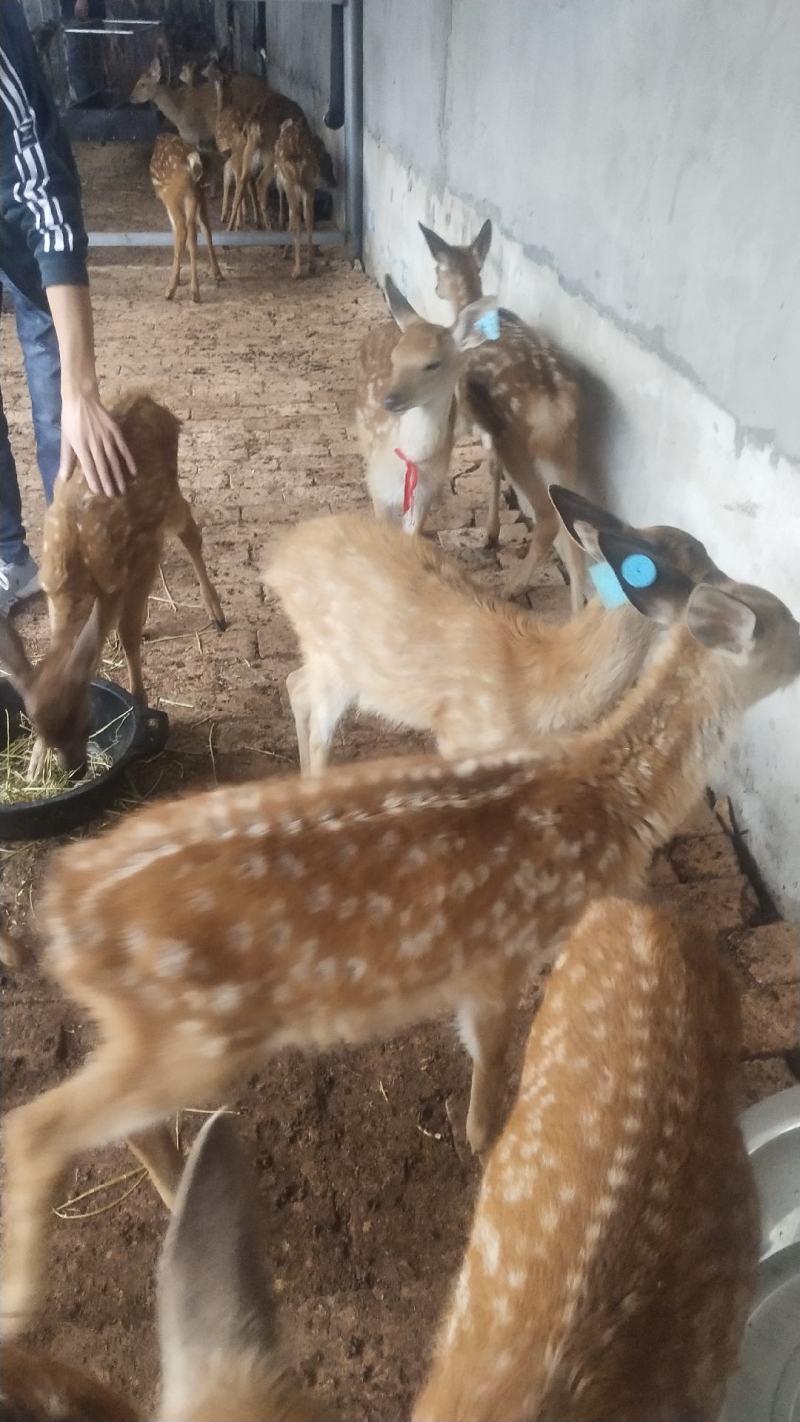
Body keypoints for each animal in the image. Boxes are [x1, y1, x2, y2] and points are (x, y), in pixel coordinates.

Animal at [0, 391, 225, 777]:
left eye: (86, 721)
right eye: (38, 728)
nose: (75, 771)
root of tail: (152, 402)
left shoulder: (135, 565)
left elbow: (130, 631)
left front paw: (140, 701)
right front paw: (34, 768)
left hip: (167, 498)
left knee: (191, 532)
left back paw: (216, 612)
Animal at [2, 526, 797, 1334]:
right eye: (785, 625)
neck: (603, 798)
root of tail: (66, 910)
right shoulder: (501, 955)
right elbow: (491, 1057)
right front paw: (484, 1140)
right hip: (189, 1034)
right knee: (42, 1128)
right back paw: (32, 1295)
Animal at [149, 135, 223, 304]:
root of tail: (191, 162)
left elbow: (176, 232)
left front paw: (177, 281)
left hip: (172, 195)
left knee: (182, 231)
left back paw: (170, 290)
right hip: (196, 194)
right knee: (201, 231)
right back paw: (204, 284)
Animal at [274, 117, 336, 279]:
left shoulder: (284, 183)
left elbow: (290, 216)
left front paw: (286, 252)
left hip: (291, 182)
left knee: (297, 216)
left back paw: (297, 270)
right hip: (308, 183)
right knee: (308, 216)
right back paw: (311, 265)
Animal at [419, 218, 586, 610]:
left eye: (436, 268)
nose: (435, 286)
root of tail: (555, 401)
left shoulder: (468, 411)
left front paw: (489, 533)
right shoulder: (489, 423)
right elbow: (491, 467)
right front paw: (491, 533)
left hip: (518, 437)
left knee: (547, 517)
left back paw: (512, 587)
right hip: (566, 446)